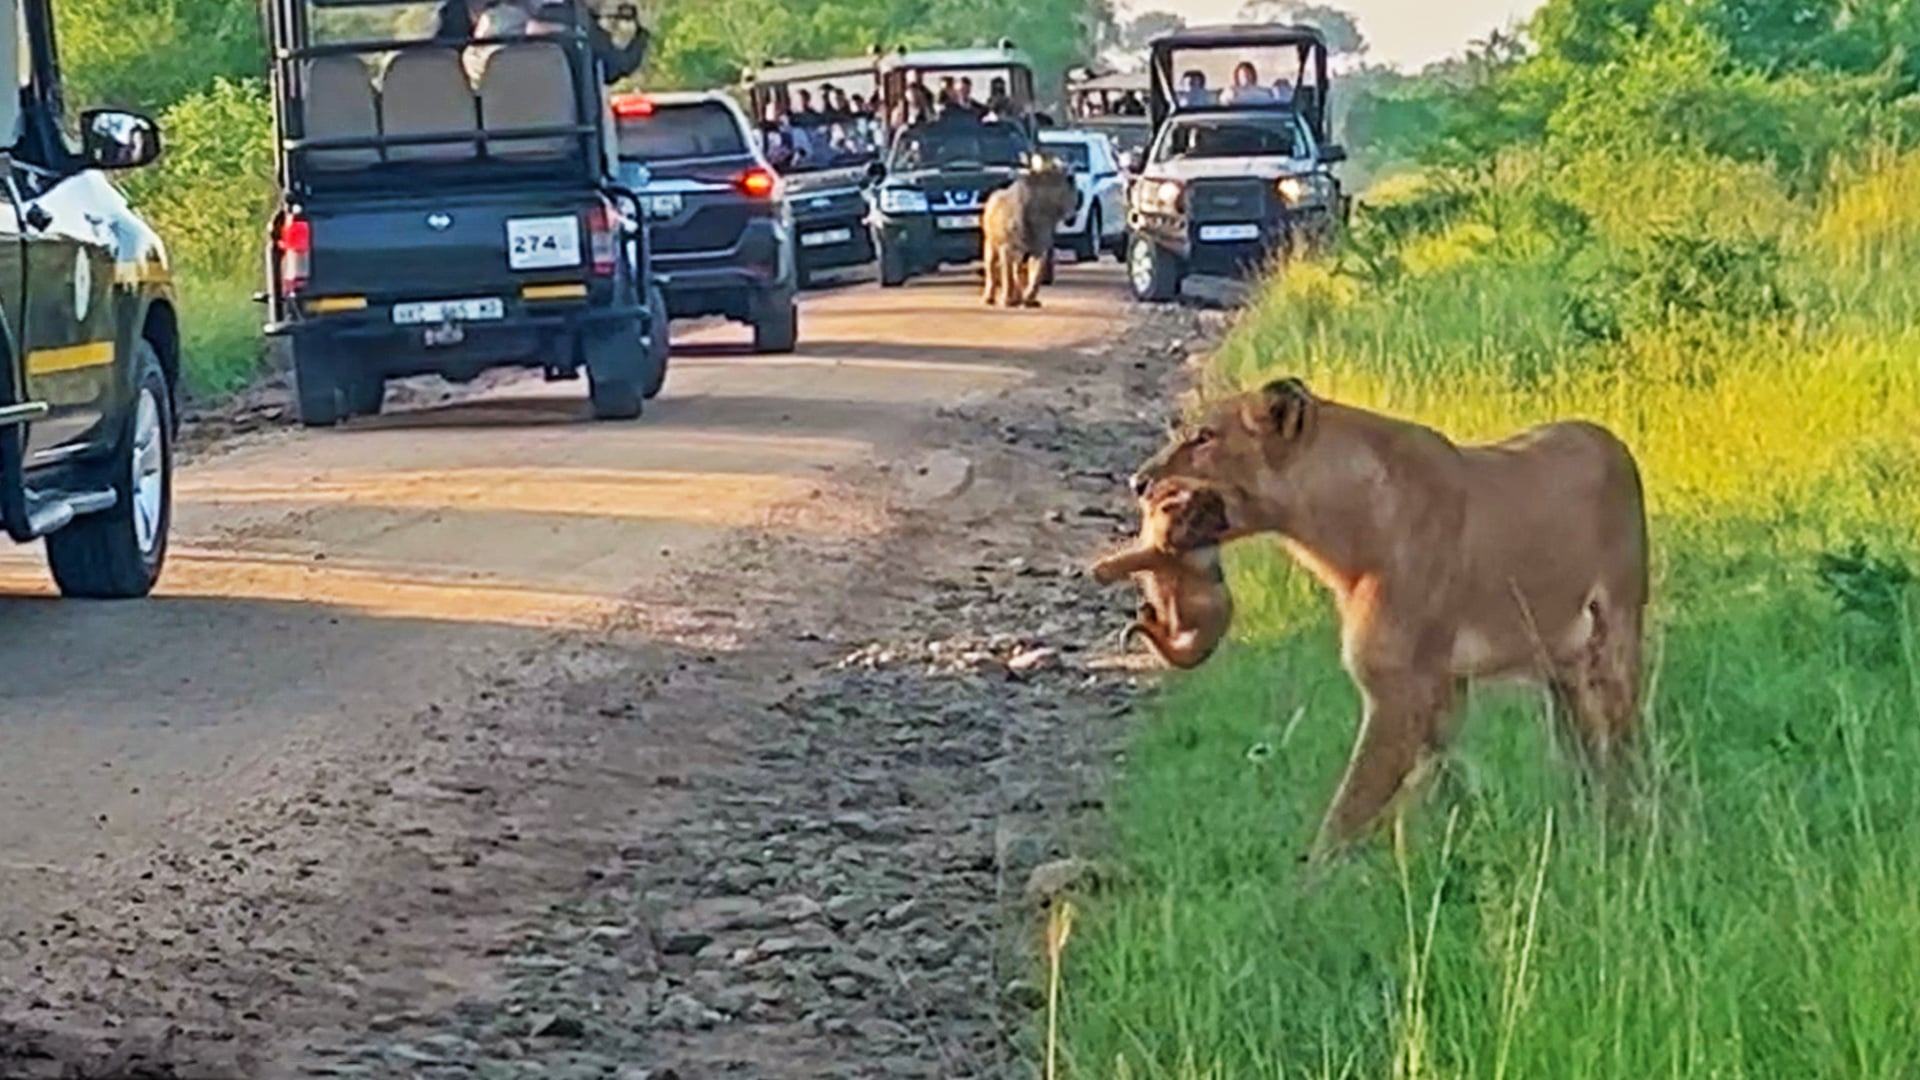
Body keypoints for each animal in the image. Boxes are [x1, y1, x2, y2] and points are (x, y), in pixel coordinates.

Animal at [980, 155, 1078, 309]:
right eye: (1072, 182)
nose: (1072, 218)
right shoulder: (1007, 249)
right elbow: (1008, 275)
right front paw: (1009, 300)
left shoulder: (1039, 250)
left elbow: (1035, 276)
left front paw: (1029, 299)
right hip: (991, 245)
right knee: (992, 270)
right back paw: (990, 298)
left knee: (1017, 271)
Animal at [1090, 479, 1235, 669]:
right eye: (1212, 509)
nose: (1226, 525)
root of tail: (1209, 646)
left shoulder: (1161, 551)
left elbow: (1133, 558)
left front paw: (1100, 571)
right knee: (1164, 630)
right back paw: (1147, 612)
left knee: (1175, 623)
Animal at [1131, 377, 1650, 861]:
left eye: (1204, 437)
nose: (1138, 482)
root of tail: (1609, 437)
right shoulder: (1441, 690)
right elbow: (1424, 794)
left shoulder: (1398, 691)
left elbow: (1348, 811)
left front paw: (1310, 889)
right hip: (1563, 675)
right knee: (1587, 757)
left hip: (1618, 641)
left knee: (1625, 747)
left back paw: (1627, 827)